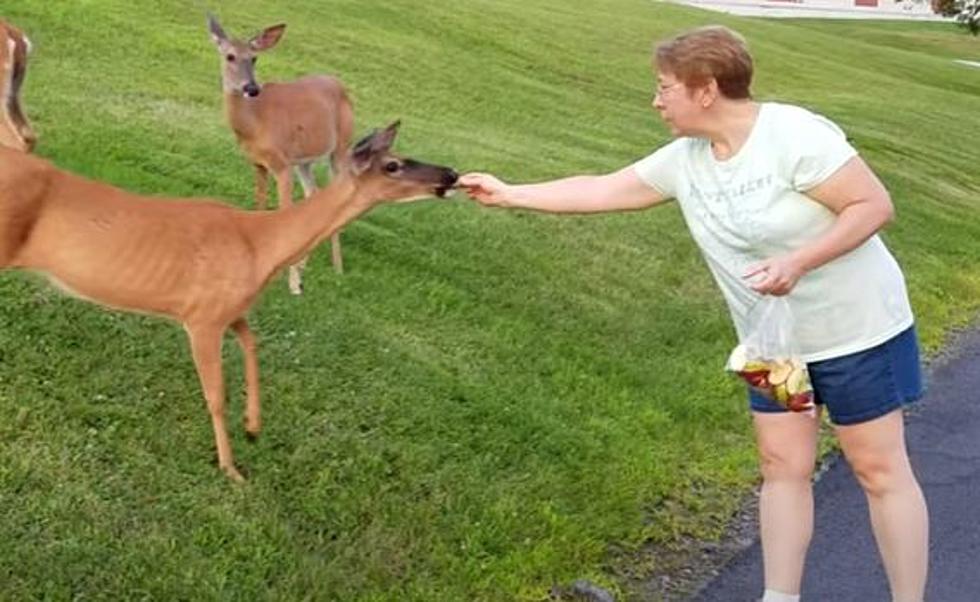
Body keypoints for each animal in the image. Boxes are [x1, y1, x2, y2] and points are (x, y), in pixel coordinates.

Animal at [0, 120, 460, 478]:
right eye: (393, 165)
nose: (452, 174)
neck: (261, 247)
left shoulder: (228, 309)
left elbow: (253, 343)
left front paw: (254, 425)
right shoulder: (202, 316)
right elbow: (216, 395)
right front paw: (231, 468)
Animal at [206, 14, 352, 292]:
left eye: (254, 58)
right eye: (229, 56)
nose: (251, 88)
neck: (255, 123)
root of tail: (339, 83)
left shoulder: (282, 164)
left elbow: (285, 211)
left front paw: (293, 283)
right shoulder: (259, 163)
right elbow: (260, 206)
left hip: (341, 146)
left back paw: (338, 270)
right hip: (304, 160)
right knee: (314, 193)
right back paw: (305, 264)